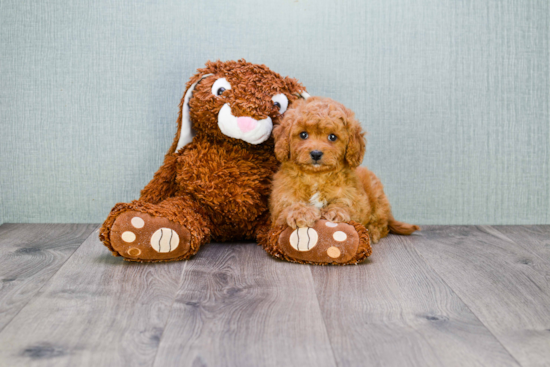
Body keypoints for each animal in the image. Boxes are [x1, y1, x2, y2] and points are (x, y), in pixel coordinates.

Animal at [270, 97, 420, 244]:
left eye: (332, 137)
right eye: (303, 134)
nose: (316, 153)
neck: (317, 176)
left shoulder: (355, 200)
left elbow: (346, 204)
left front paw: (336, 211)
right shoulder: (278, 208)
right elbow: (288, 207)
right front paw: (302, 212)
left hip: (377, 196)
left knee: (382, 223)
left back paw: (373, 232)